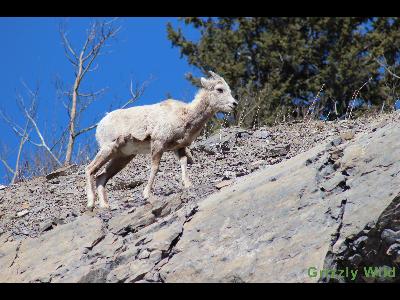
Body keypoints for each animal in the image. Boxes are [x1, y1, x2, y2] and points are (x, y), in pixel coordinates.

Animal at [86, 72, 238, 209]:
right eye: (219, 89)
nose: (234, 104)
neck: (185, 116)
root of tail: (102, 122)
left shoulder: (179, 147)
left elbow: (183, 163)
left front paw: (188, 185)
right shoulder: (158, 144)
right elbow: (155, 167)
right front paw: (146, 194)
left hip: (123, 157)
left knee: (101, 177)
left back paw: (105, 205)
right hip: (108, 149)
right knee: (89, 169)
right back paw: (91, 203)